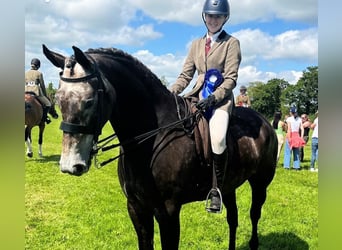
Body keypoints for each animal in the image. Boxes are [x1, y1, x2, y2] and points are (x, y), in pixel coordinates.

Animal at [42, 44, 278, 249]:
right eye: (58, 99)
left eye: (89, 101)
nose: (71, 165)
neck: (151, 139)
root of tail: (265, 121)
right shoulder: (136, 207)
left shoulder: (168, 211)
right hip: (228, 186)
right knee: (233, 219)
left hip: (260, 184)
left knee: (254, 215)